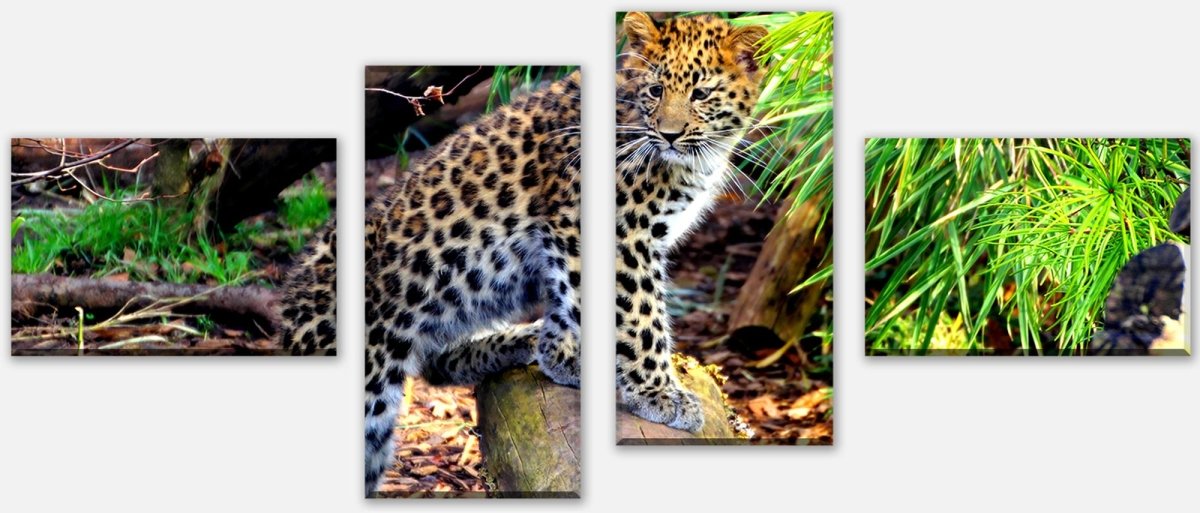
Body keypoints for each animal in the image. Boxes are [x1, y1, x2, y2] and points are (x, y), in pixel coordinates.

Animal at [614, 12, 768, 432]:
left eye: (700, 94)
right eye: (655, 90)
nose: (669, 135)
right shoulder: (625, 236)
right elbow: (640, 312)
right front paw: (656, 393)